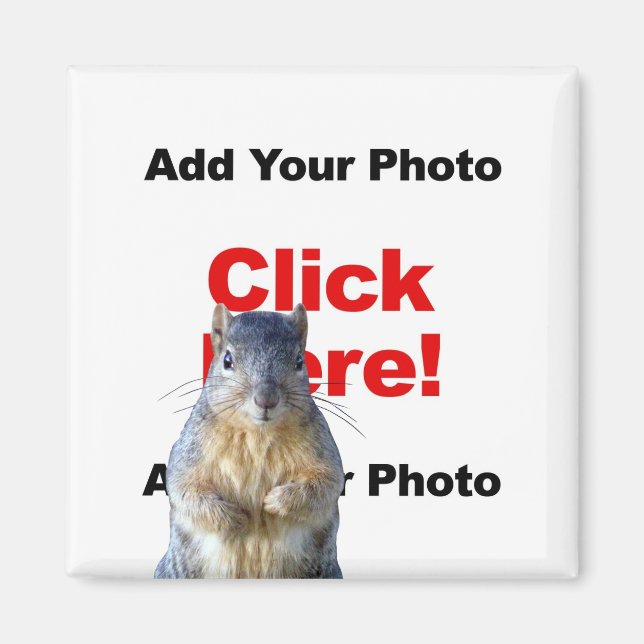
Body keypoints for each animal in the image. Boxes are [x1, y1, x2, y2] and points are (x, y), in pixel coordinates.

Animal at [155, 303, 345, 579]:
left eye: (299, 361)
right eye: (227, 360)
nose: (266, 399)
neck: (258, 433)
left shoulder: (323, 450)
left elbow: (326, 485)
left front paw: (273, 501)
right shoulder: (190, 454)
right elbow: (185, 490)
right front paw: (235, 517)